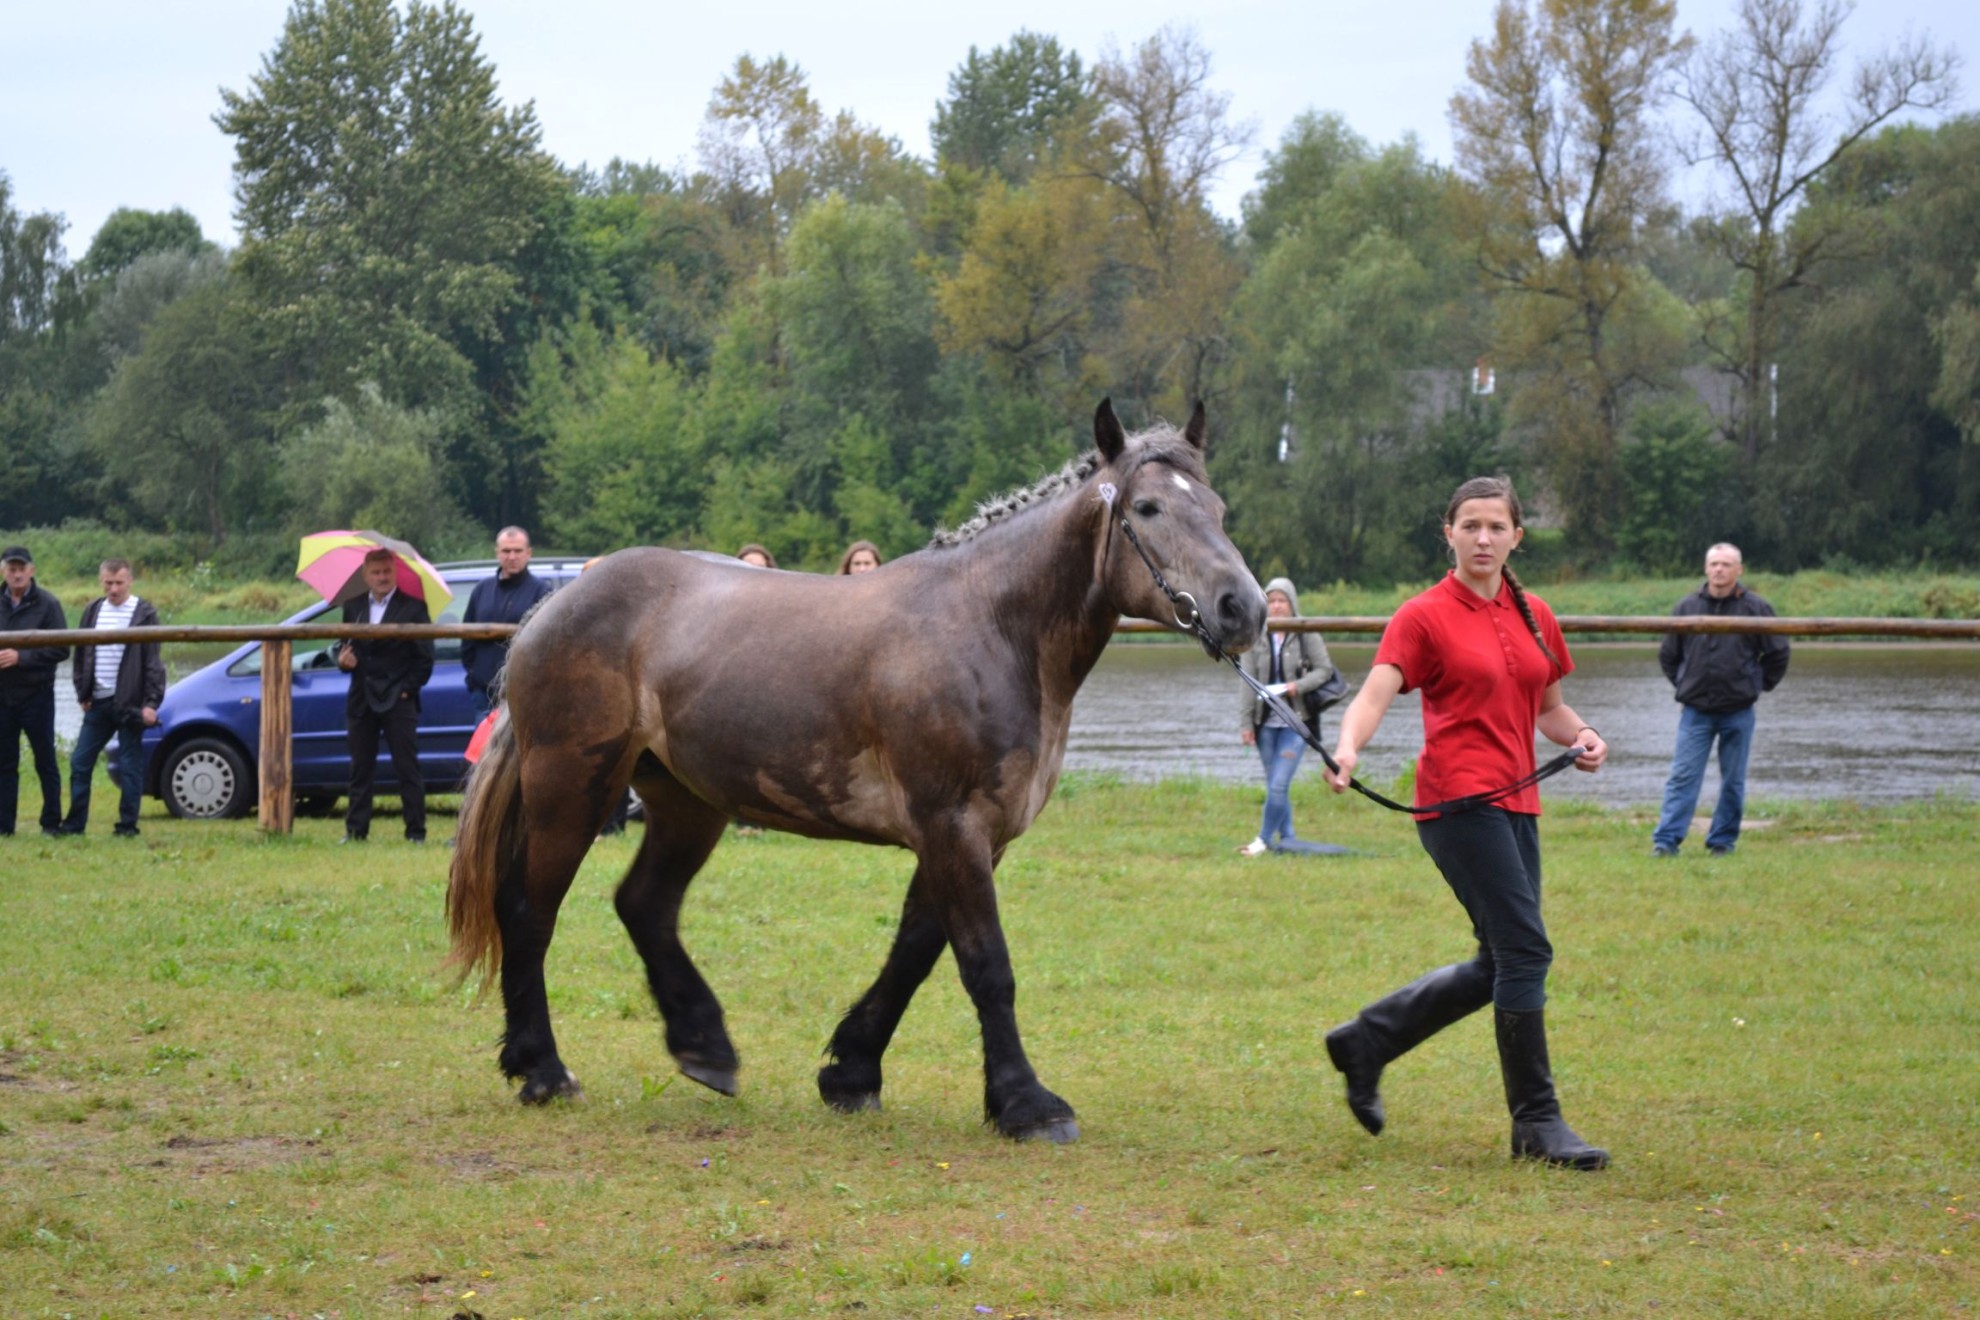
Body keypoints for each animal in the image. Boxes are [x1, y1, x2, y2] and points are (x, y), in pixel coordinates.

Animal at [445, 399, 1265, 1142]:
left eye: (1219, 509)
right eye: (1148, 507)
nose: (1243, 609)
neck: (992, 626)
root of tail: (551, 608)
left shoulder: (974, 836)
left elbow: (915, 953)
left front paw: (851, 1071)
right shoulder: (952, 827)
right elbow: (985, 965)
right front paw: (1028, 1104)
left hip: (686, 802)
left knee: (644, 904)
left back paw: (704, 1046)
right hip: (573, 787)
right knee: (529, 911)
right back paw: (542, 1069)